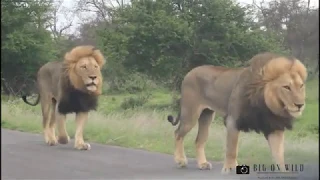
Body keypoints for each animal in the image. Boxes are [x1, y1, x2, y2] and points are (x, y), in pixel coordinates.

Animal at [166, 52, 306, 173]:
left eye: (301, 86)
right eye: (286, 87)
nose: (300, 105)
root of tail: (190, 72)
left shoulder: (274, 127)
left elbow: (279, 154)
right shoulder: (233, 120)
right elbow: (232, 148)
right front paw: (230, 168)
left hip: (206, 116)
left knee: (199, 140)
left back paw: (202, 164)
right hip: (190, 114)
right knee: (178, 133)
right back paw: (180, 160)